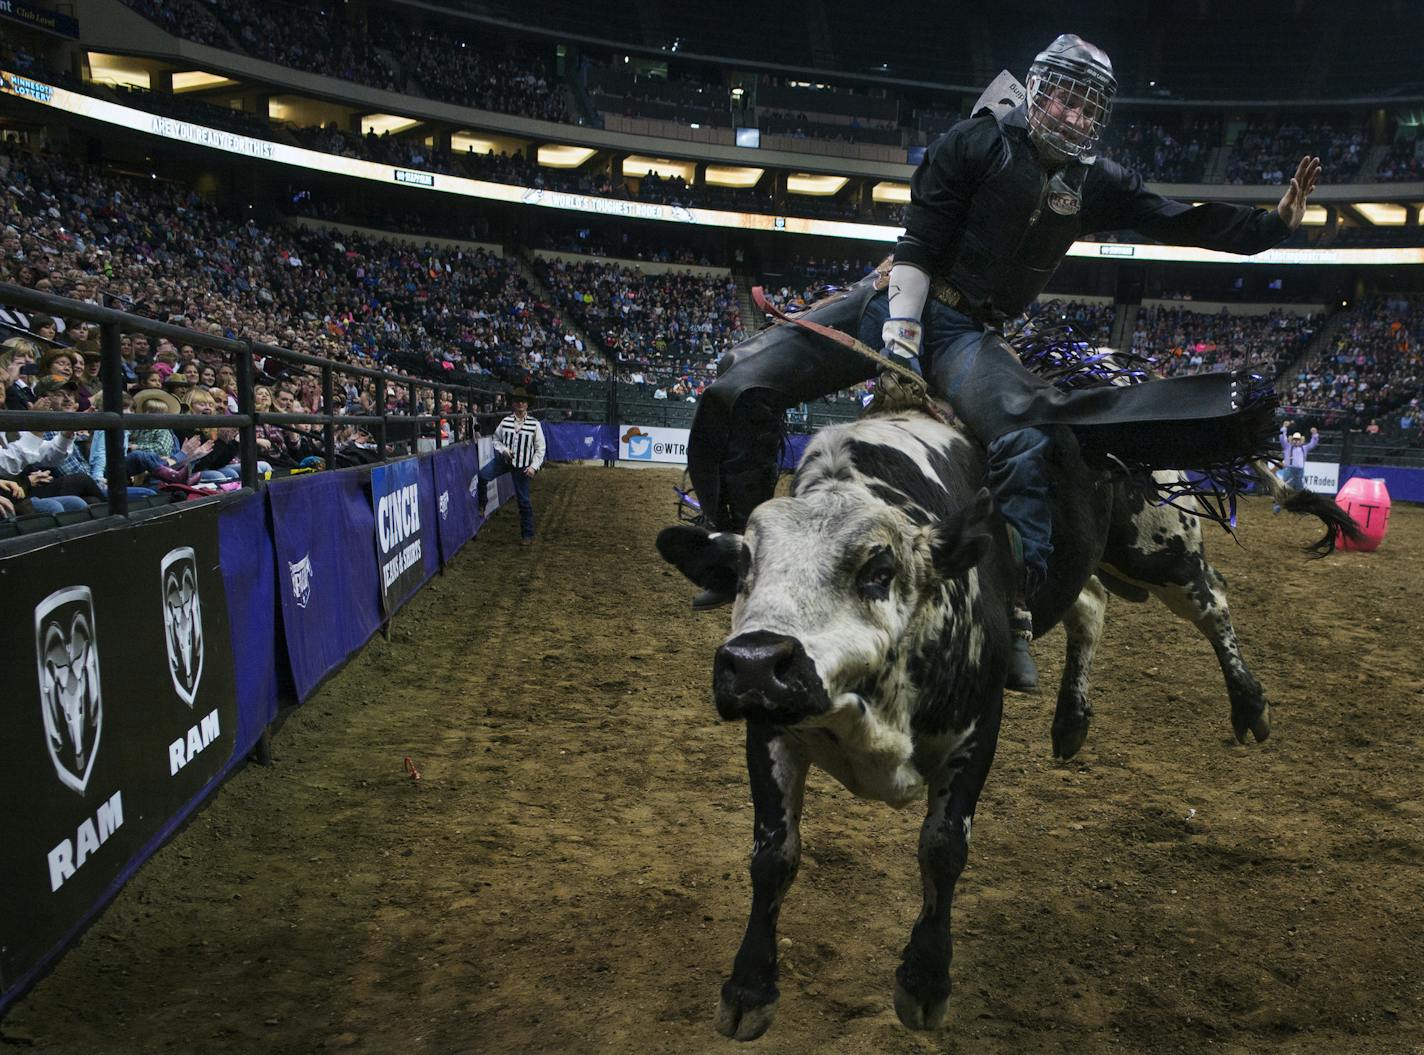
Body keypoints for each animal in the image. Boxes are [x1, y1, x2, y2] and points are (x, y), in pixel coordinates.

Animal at [657, 412, 1355, 1036]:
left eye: (879, 569)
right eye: (743, 571)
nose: (754, 664)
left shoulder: (976, 728)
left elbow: (942, 848)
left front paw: (925, 983)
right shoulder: (771, 731)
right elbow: (773, 857)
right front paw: (748, 989)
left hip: (1159, 549)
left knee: (1213, 599)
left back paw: (1249, 703)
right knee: (1092, 604)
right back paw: (1071, 721)